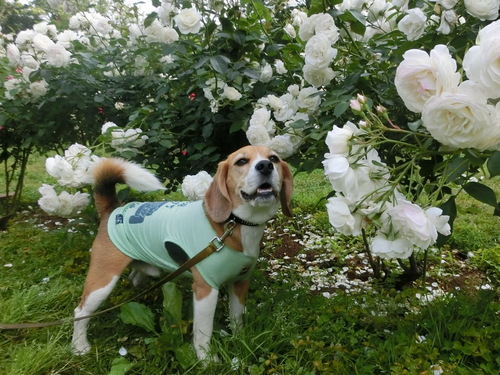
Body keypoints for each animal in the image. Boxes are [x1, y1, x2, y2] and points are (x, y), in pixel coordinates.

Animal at [70, 146, 292, 362]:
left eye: (274, 158)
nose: (265, 166)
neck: (234, 223)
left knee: (135, 277)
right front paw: (207, 361)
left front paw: (240, 340)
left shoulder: (240, 281)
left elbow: (236, 317)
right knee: (80, 312)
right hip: (102, 281)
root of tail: (114, 209)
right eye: (241, 161)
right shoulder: (205, 290)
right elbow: (203, 332)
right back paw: (79, 346)